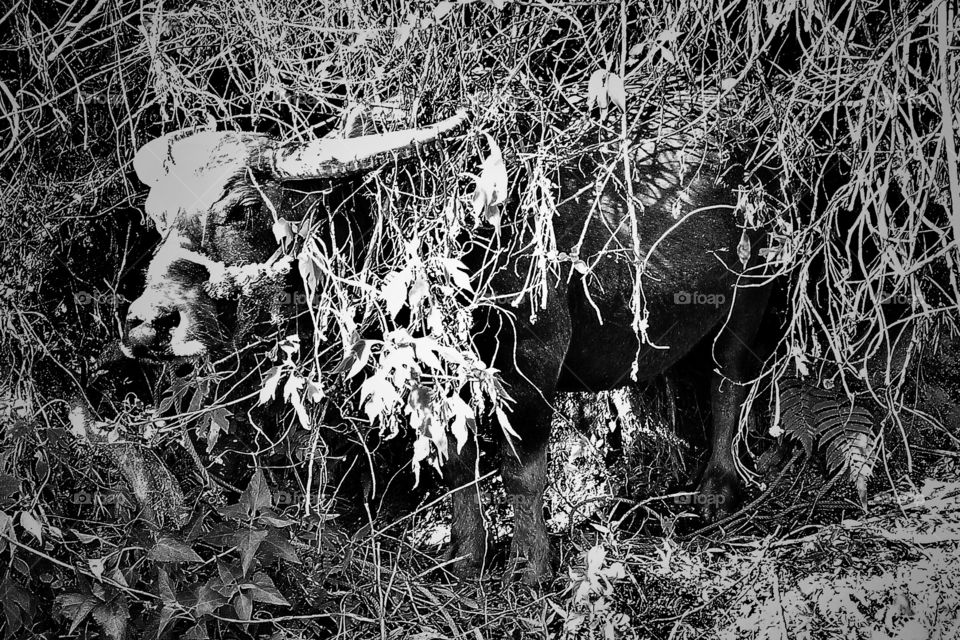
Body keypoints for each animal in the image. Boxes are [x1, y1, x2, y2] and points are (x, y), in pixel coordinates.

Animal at [120, 104, 771, 584]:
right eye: (155, 218)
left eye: (243, 208)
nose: (147, 325)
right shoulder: (435, 380)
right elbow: (457, 464)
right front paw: (465, 555)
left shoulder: (533, 360)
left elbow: (520, 471)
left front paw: (530, 570)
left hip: (751, 302)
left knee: (729, 380)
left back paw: (716, 489)